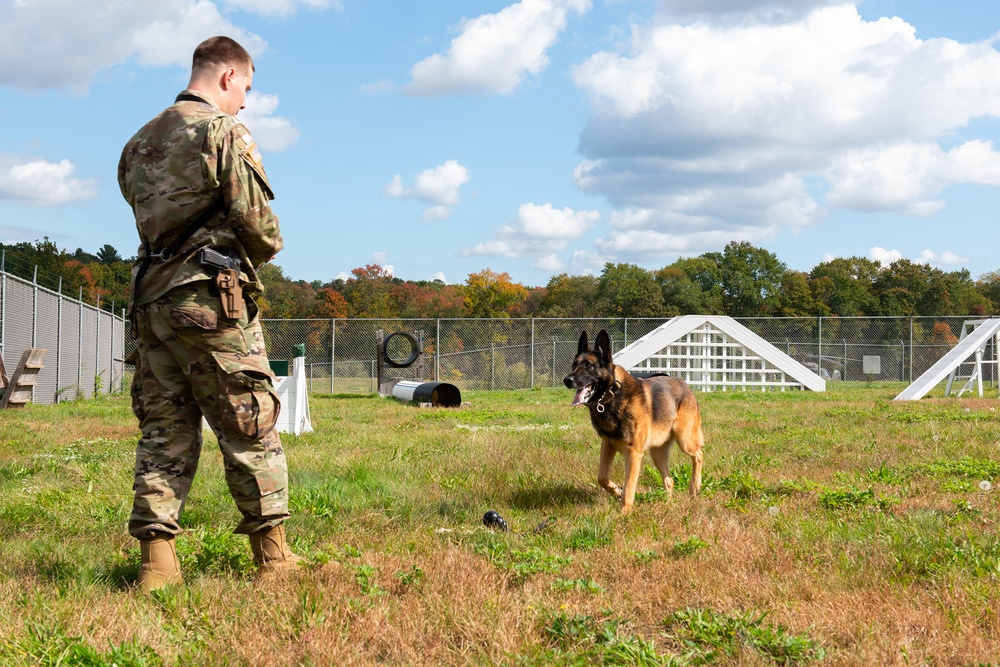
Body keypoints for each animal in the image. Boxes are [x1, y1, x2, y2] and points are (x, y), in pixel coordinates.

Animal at [564, 332, 704, 516]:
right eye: (574, 365)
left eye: (589, 366)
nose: (567, 380)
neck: (613, 395)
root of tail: (684, 383)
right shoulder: (608, 445)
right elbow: (602, 478)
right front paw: (617, 492)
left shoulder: (634, 454)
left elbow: (629, 487)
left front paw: (624, 512)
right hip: (657, 454)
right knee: (669, 480)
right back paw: (667, 504)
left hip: (684, 440)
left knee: (699, 455)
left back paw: (694, 487)